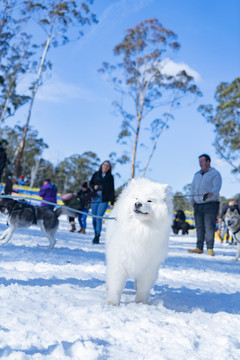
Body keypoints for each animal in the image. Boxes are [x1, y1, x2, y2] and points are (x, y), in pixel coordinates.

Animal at [105, 176, 172, 304]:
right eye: (136, 197)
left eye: (149, 201)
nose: (137, 204)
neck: (140, 229)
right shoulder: (119, 261)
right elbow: (116, 284)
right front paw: (113, 303)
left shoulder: (148, 266)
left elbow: (143, 287)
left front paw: (140, 303)